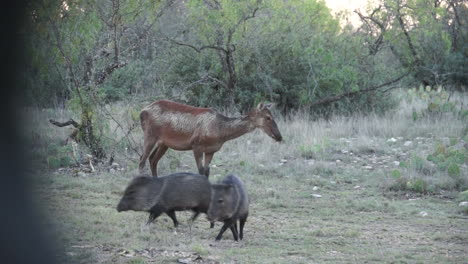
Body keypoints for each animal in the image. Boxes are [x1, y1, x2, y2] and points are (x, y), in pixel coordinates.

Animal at [137, 100, 284, 177]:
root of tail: (142, 111)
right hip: (150, 135)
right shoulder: (196, 146)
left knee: (152, 159)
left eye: (272, 116)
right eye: (268, 117)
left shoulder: (211, 150)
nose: (279, 136)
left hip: (164, 143)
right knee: (142, 160)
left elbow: (207, 172)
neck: (220, 133)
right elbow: (201, 171)